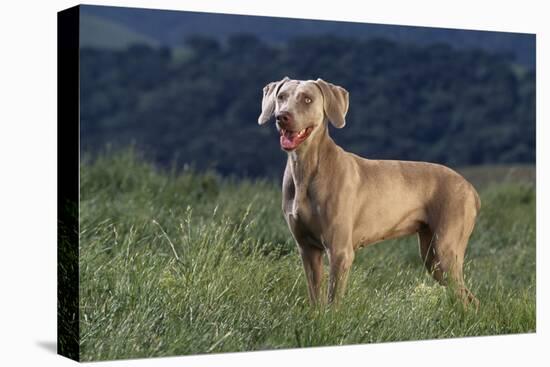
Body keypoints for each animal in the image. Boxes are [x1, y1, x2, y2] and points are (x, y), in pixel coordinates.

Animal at [258, 77, 478, 308]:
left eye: (307, 99)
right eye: (281, 97)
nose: (282, 117)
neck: (305, 168)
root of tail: (470, 188)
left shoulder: (340, 251)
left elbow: (333, 303)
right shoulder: (307, 250)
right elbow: (316, 299)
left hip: (445, 249)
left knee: (465, 298)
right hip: (432, 256)